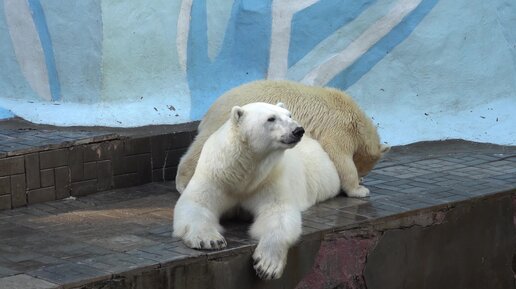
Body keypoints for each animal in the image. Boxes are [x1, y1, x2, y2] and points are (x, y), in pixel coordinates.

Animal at [173, 102, 342, 280]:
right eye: (271, 118)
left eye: (289, 115)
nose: (298, 130)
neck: (241, 171)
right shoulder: (215, 176)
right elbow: (196, 204)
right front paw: (209, 240)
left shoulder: (268, 179)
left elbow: (277, 212)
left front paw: (267, 265)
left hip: (319, 174)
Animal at [175, 80, 390, 197]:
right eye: (363, 170)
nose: (363, 178)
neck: (355, 119)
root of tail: (212, 107)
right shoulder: (337, 130)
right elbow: (340, 158)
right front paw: (359, 190)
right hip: (227, 124)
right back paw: (183, 183)